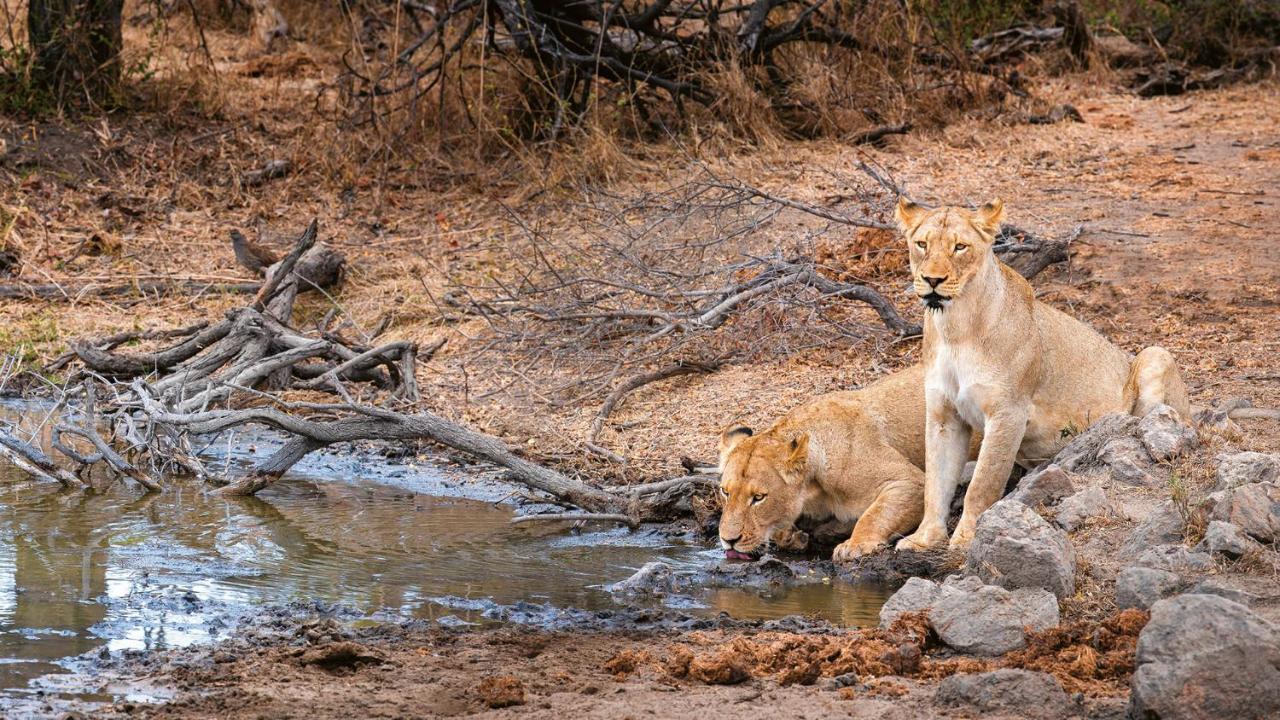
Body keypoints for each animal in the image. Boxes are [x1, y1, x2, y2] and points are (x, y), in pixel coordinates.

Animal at [721, 363, 952, 561]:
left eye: (759, 497)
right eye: (725, 492)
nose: (728, 540)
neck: (813, 488)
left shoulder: (910, 481)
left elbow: (874, 515)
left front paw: (854, 545)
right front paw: (791, 536)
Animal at [890, 197, 1187, 548]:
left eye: (960, 247)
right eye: (922, 244)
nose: (932, 280)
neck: (955, 327)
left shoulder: (1009, 412)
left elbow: (983, 484)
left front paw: (966, 539)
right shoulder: (943, 415)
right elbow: (936, 483)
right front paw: (925, 539)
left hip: (1155, 353)